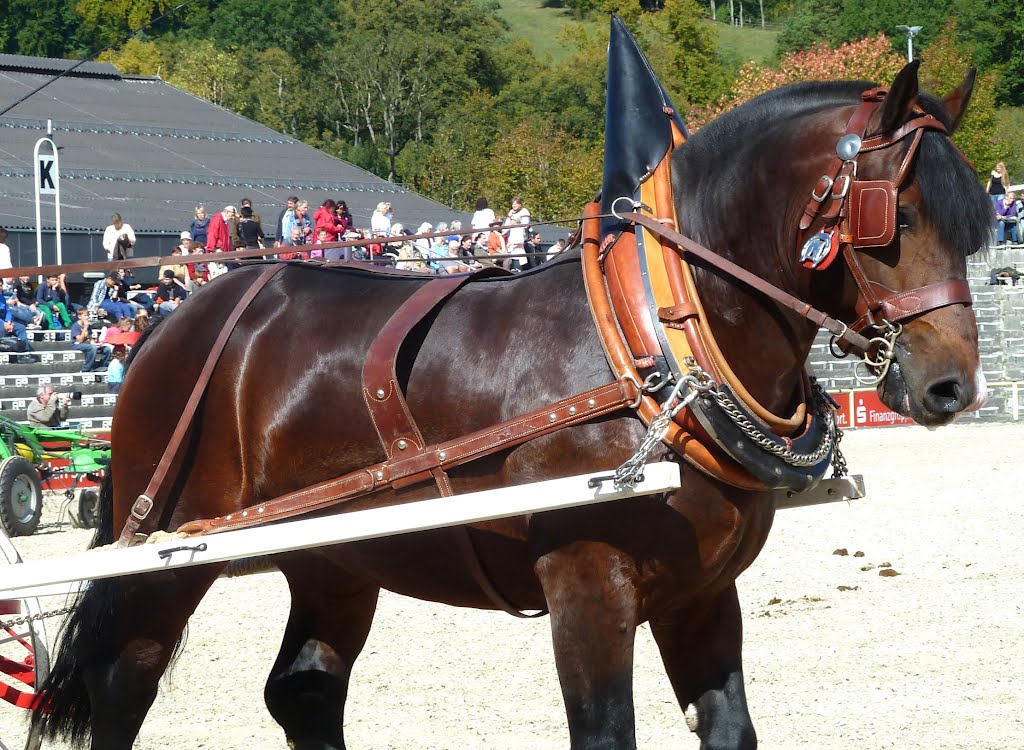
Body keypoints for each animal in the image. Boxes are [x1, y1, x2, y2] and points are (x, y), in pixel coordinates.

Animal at [37, 64, 991, 750]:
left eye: (974, 222)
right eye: (896, 214)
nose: (952, 386)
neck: (652, 345)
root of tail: (177, 320)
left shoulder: (704, 595)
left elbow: (730, 730)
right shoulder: (587, 585)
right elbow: (604, 734)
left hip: (337, 558)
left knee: (303, 691)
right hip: (171, 550)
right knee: (127, 679)